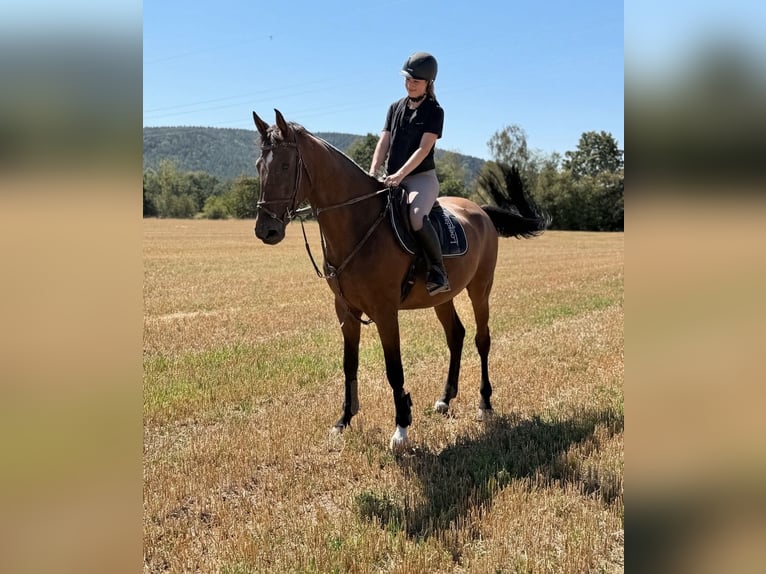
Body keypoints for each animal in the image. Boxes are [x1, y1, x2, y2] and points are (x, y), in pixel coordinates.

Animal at [252, 109, 549, 450]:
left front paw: (401, 428)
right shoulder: (345, 311)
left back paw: (484, 405)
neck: (359, 224)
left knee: (481, 339)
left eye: (286, 166)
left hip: (480, 289)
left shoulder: (385, 311)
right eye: (259, 166)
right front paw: (343, 421)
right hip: (442, 297)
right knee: (456, 335)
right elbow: (349, 364)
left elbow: (394, 369)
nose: (266, 230)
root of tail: (481, 212)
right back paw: (445, 399)